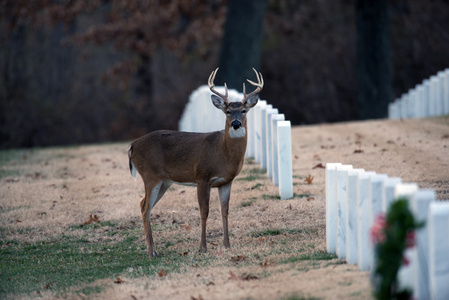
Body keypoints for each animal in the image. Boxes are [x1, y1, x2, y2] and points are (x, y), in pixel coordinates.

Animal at [128, 68, 262, 258]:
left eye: (244, 110)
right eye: (228, 111)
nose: (236, 124)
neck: (223, 153)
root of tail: (132, 145)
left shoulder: (226, 181)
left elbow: (225, 211)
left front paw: (227, 245)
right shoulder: (202, 176)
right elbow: (204, 211)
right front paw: (202, 247)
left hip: (164, 182)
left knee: (142, 204)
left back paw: (153, 249)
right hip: (150, 175)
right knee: (146, 208)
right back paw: (151, 252)